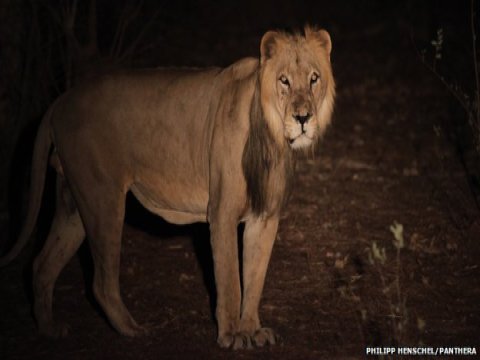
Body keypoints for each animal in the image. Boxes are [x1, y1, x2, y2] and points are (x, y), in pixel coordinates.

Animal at [0, 26, 336, 350]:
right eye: (284, 81)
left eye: (314, 78)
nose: (303, 118)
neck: (273, 139)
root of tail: (60, 101)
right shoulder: (222, 212)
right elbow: (230, 279)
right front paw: (231, 335)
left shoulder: (265, 216)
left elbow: (254, 278)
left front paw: (252, 330)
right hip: (103, 199)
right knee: (101, 282)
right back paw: (133, 330)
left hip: (74, 205)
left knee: (42, 265)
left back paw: (49, 330)